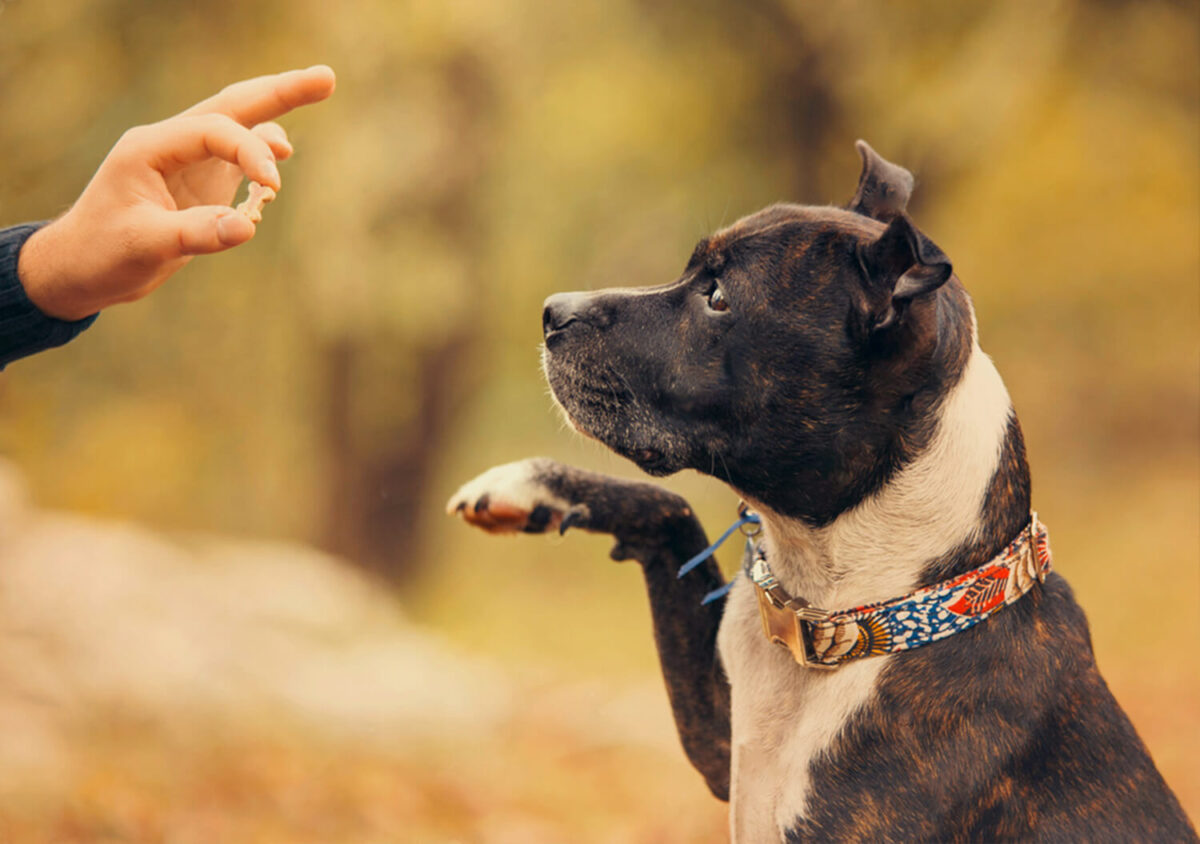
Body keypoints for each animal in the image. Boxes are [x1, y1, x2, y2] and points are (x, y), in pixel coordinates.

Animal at [446, 141, 1195, 840]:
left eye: (718, 297)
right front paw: (528, 485)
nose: (552, 312)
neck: (846, 612)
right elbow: (671, 511)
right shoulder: (721, 741)